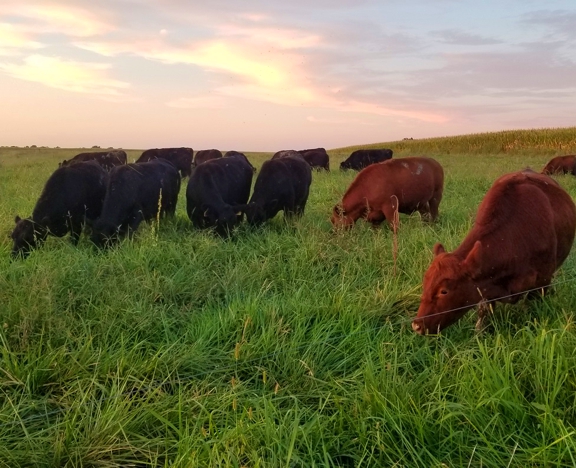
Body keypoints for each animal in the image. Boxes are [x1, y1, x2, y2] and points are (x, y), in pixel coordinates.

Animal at [410, 170, 576, 334]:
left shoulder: (542, 282)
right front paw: (479, 332)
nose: (417, 325)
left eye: (444, 291)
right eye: (425, 283)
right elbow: (484, 310)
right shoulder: (484, 284)